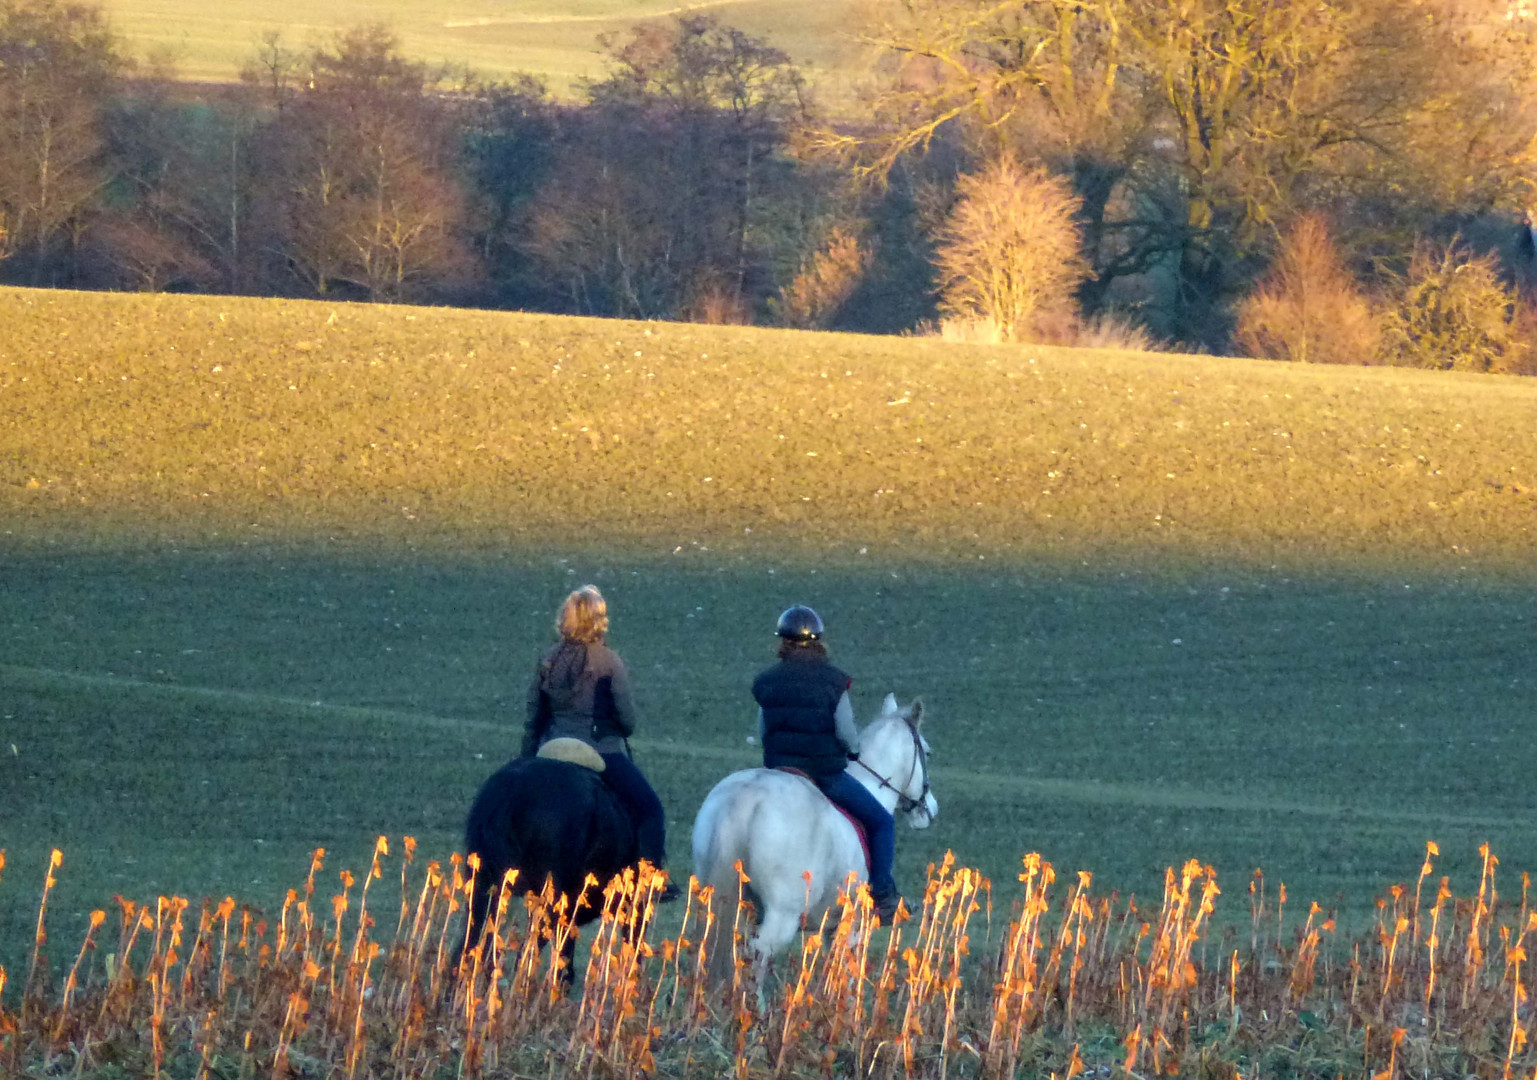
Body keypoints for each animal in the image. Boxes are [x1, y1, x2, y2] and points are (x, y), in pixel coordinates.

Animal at [688, 694, 928, 983]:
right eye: (927, 753)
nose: (928, 809)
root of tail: (745, 796)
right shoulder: (853, 925)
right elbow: (847, 974)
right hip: (781, 916)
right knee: (756, 958)